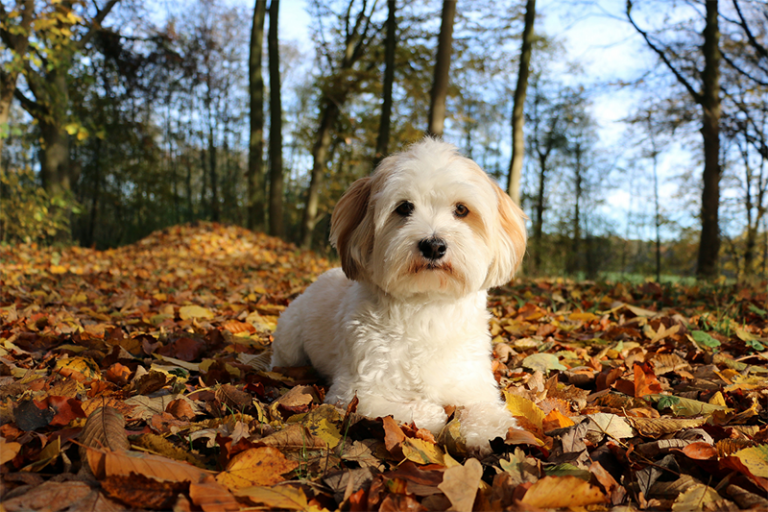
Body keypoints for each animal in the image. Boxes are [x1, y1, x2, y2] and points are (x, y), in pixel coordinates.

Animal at [270, 139, 528, 452]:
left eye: (461, 210)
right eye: (404, 207)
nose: (433, 245)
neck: (428, 308)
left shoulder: (474, 383)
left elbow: (485, 410)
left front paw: (487, 430)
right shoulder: (358, 391)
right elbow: (416, 409)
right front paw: (438, 415)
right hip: (289, 344)